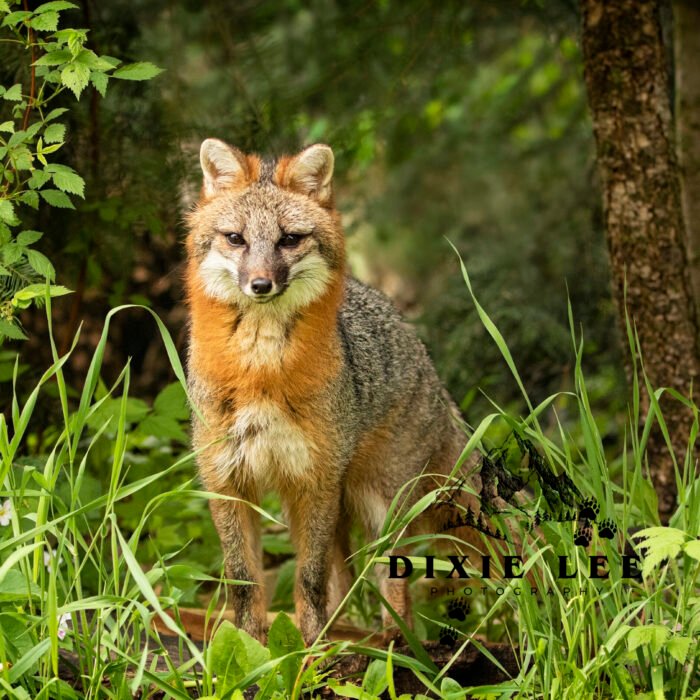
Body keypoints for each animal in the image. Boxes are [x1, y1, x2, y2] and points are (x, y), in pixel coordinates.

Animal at [184, 138, 486, 645]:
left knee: (389, 576)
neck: (261, 370)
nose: (260, 284)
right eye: (235, 239)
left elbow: (309, 577)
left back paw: (394, 643)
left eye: (289, 239)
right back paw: (349, 630)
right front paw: (251, 643)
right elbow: (244, 581)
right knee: (345, 577)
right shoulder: (227, 478)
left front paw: (309, 650)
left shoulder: (315, 479)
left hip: (380, 503)